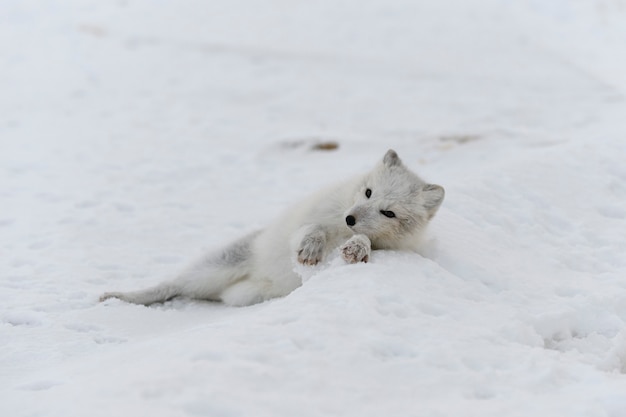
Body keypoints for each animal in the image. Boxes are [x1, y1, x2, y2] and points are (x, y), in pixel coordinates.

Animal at [100, 149, 444, 306]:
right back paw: (120, 297)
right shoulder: (313, 220)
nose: (350, 218)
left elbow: (367, 242)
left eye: (389, 213)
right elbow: (311, 229)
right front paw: (311, 248)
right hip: (215, 266)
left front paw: (357, 247)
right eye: (369, 192)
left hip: (243, 295)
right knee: (171, 285)